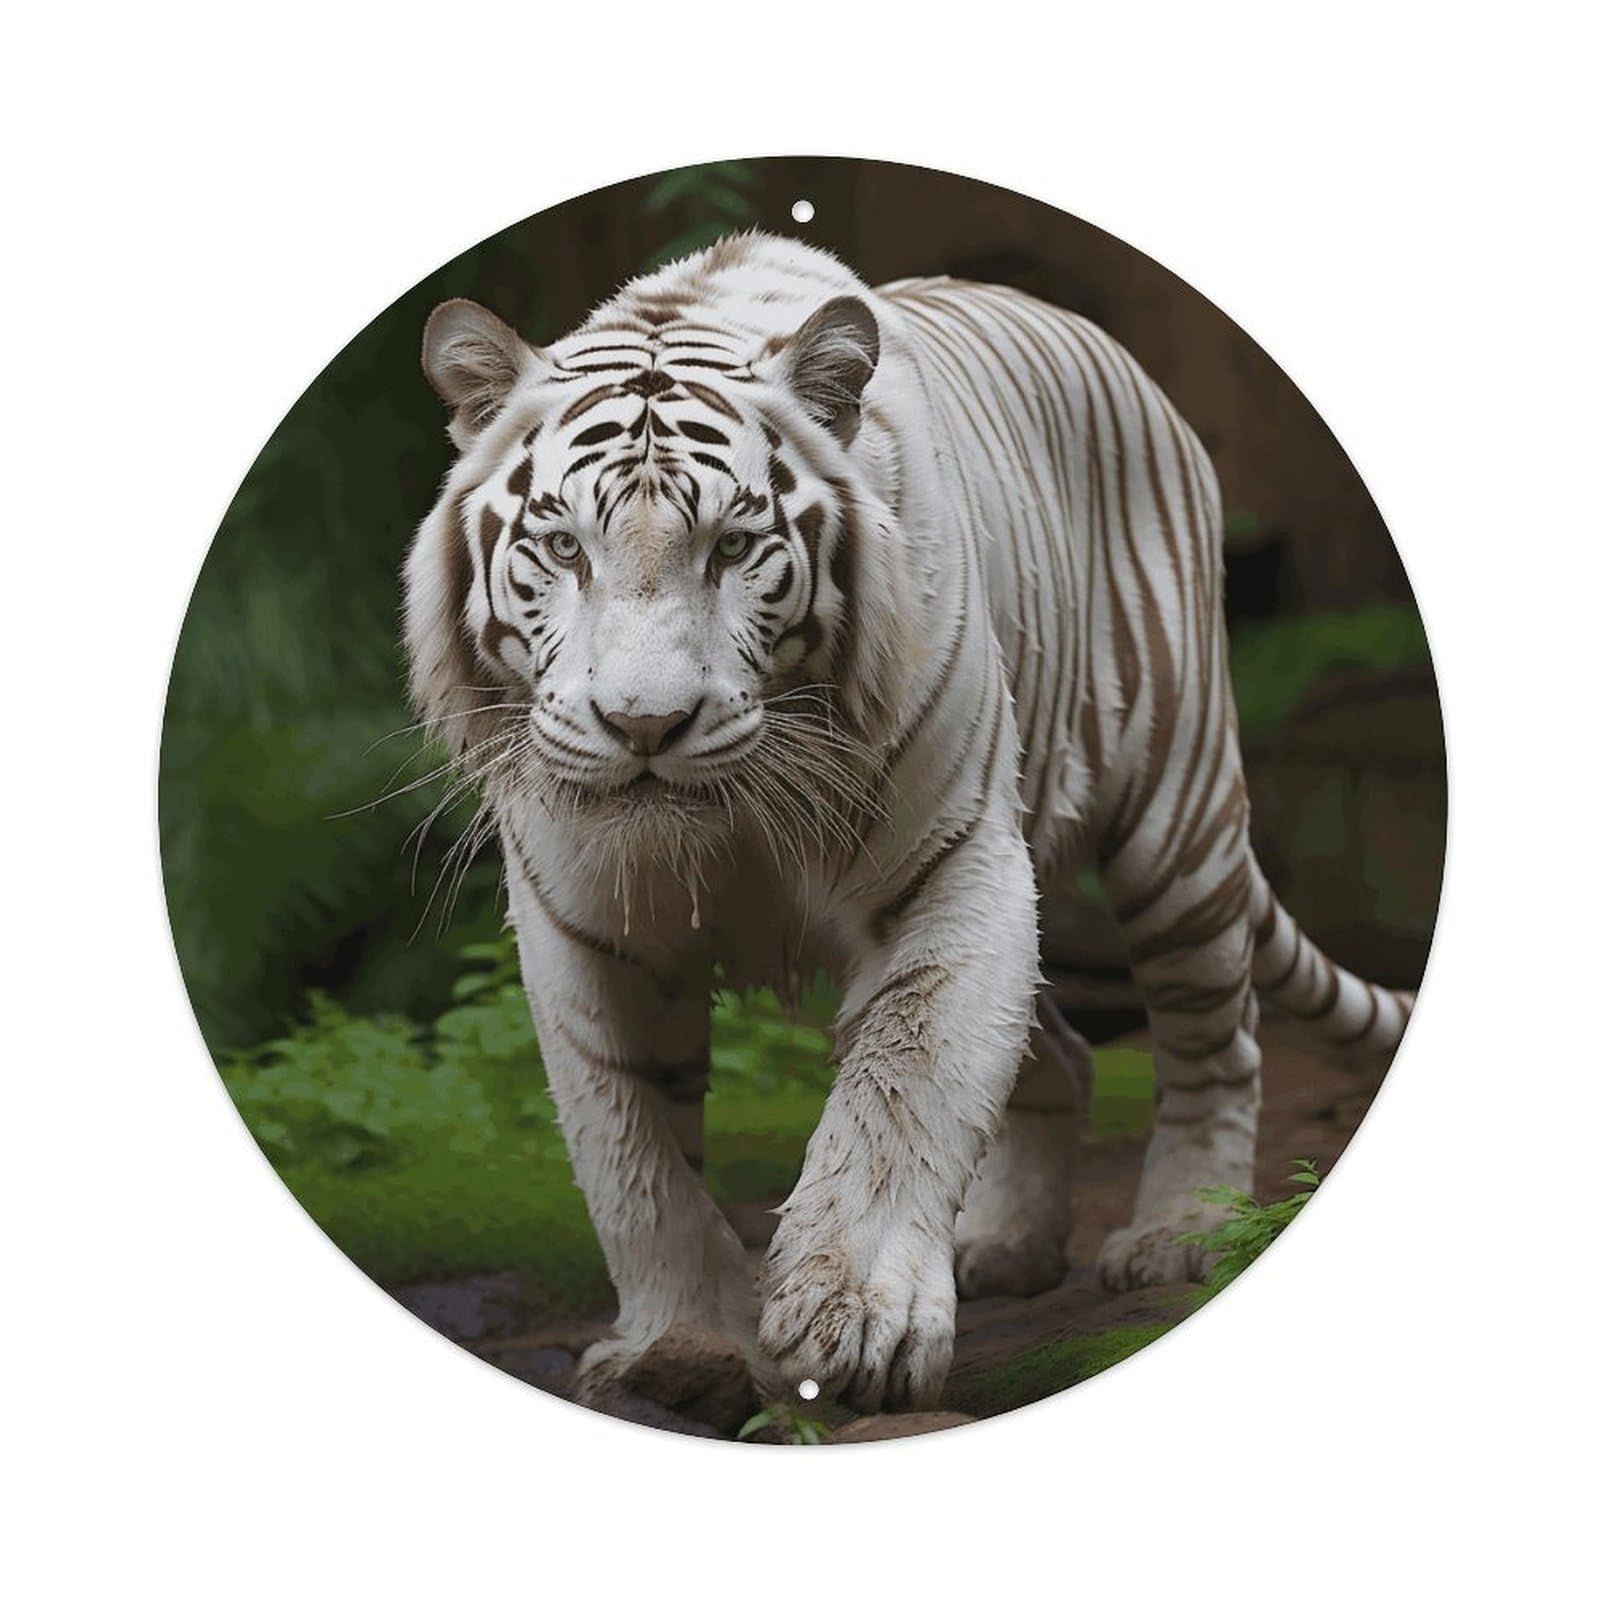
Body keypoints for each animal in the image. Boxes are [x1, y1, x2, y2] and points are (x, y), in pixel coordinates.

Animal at [403, 231, 1414, 1415]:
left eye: (732, 546)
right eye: (563, 547)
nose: (646, 723)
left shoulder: (955, 862)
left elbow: (906, 1086)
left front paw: (856, 1325)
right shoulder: (583, 929)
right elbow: (633, 1155)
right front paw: (678, 1344)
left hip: (1178, 811)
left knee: (1217, 1036)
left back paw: (1181, 1232)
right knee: (1063, 1053)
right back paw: (1005, 1245)